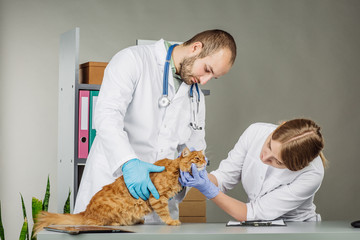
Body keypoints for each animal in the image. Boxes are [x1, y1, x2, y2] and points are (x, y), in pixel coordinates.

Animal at [35, 147, 208, 235]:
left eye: (203, 158)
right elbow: (165, 214)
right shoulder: (158, 198)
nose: (206, 162)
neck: (175, 170)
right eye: (197, 158)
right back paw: (118, 223)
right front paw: (172, 221)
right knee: (98, 223)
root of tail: (85, 211)